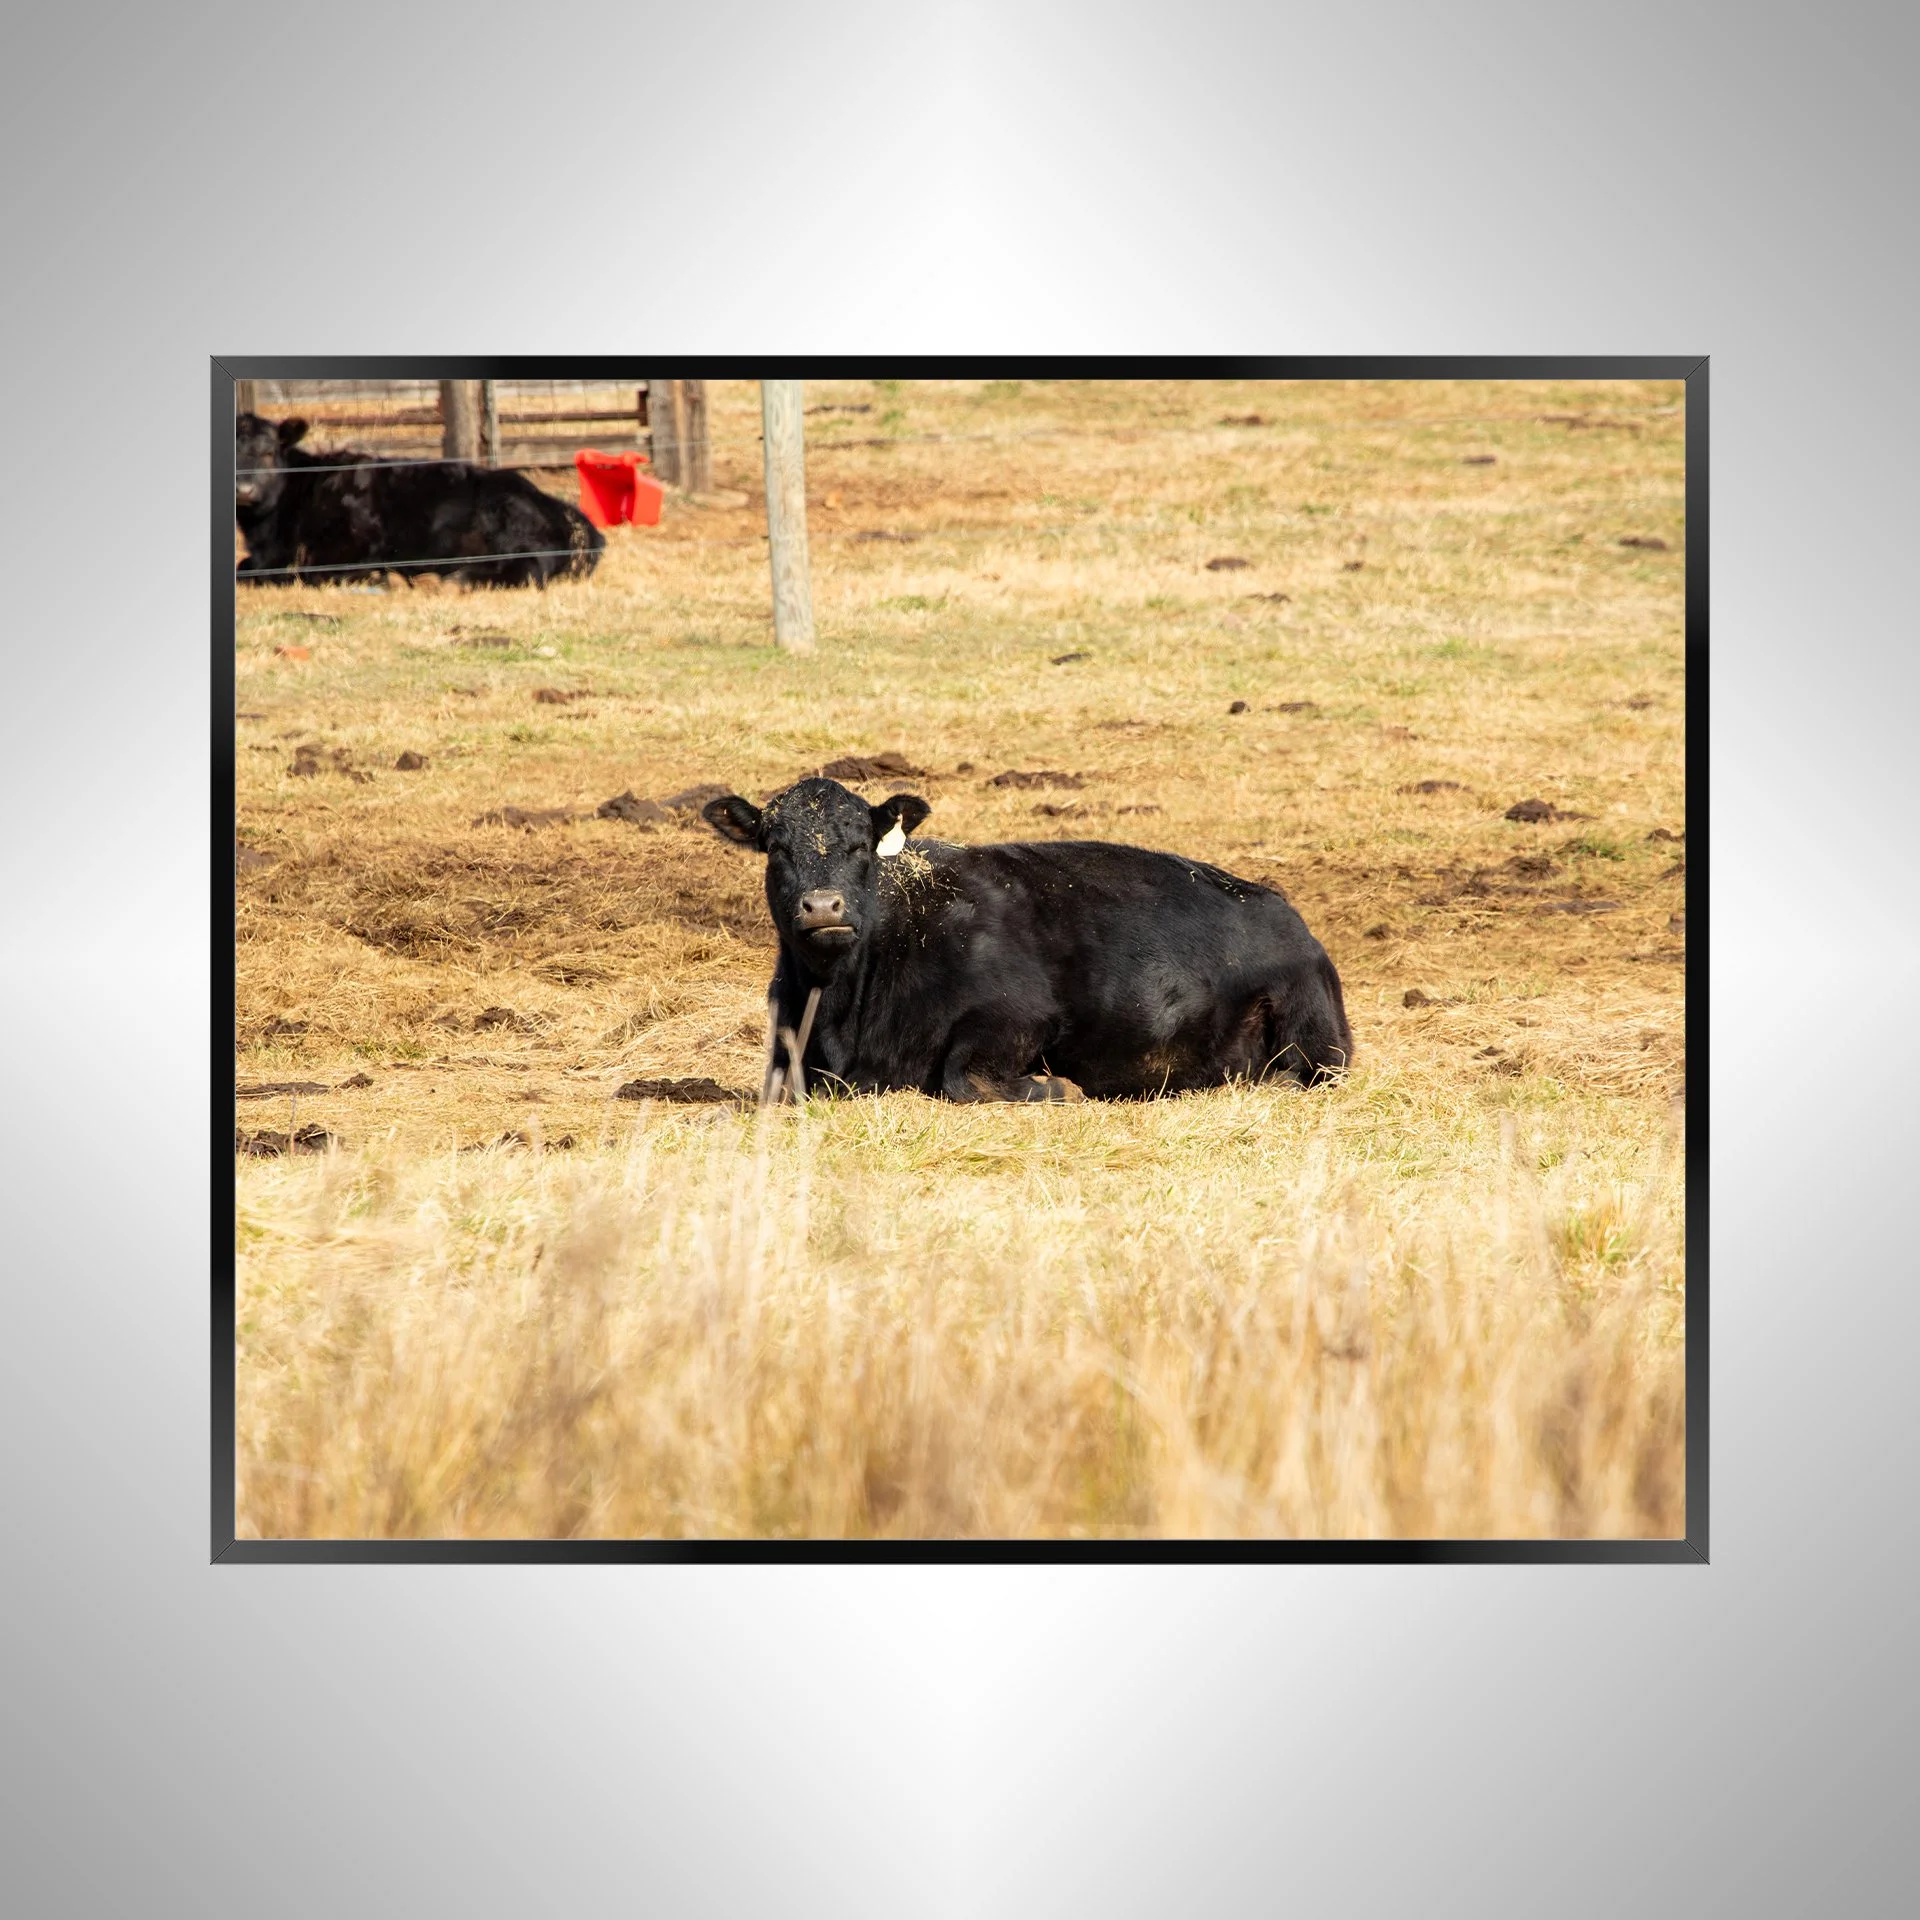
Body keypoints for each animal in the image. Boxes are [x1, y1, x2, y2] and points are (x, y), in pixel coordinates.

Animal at [234, 413, 604, 588]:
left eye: (268, 452)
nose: (244, 490)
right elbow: (245, 567)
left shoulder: (355, 544)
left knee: (527, 569)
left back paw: (452, 582)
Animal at [703, 776, 1353, 1103]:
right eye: (775, 848)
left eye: (861, 844)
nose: (822, 906)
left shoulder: (1018, 1016)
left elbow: (962, 1077)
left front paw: (1057, 1086)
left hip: (1315, 1035)